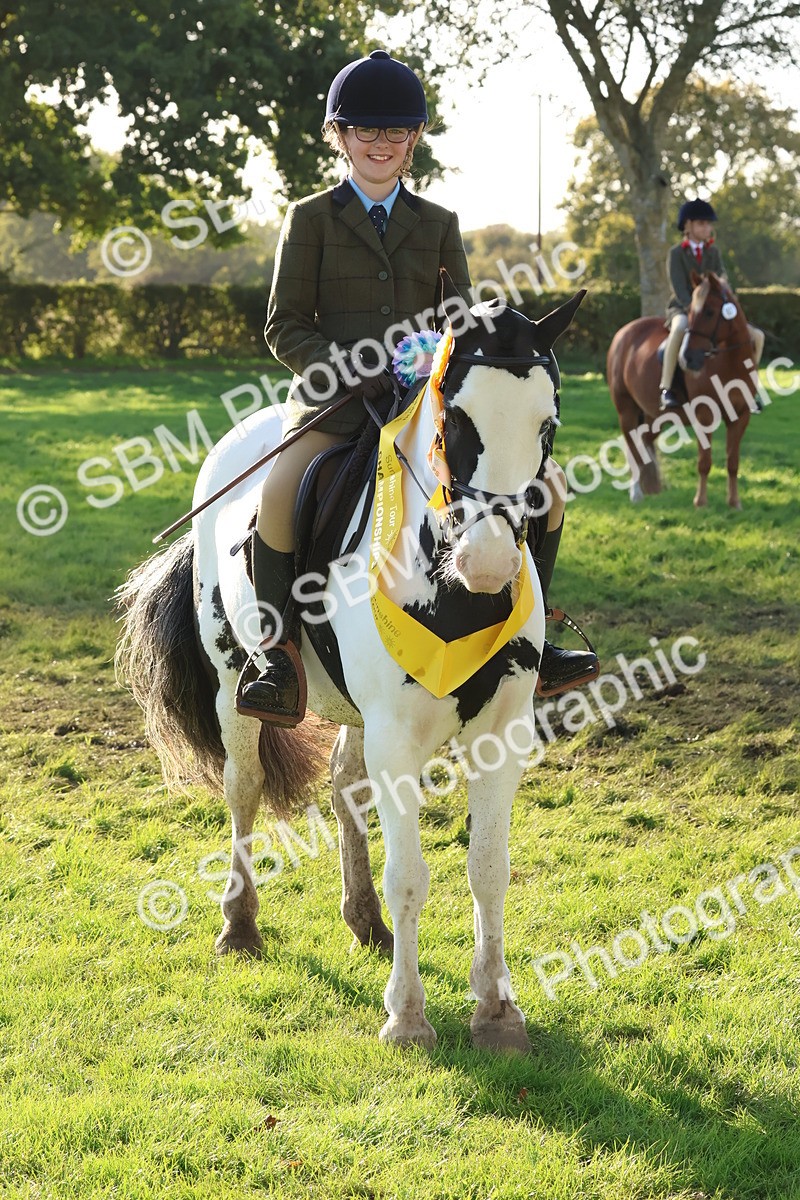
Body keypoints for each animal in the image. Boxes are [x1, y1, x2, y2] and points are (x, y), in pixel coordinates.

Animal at [115, 291, 585, 1052]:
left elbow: (489, 868)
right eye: (453, 419)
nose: (488, 563)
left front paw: (496, 1010)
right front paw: (408, 1016)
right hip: (232, 681)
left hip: (354, 709)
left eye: (547, 424)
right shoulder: (397, 737)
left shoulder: (499, 734)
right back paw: (239, 927)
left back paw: (365, 920)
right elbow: (411, 875)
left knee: (344, 789)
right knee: (244, 788)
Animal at [607, 271, 761, 509]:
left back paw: (650, 488)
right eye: (689, 312)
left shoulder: (741, 416)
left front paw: (735, 503)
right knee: (632, 447)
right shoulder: (705, 415)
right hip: (627, 410)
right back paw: (636, 494)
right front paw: (700, 502)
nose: (688, 358)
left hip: (653, 416)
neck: (729, 362)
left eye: (709, 312)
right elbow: (704, 461)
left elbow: (733, 462)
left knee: (644, 443)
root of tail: (623, 332)